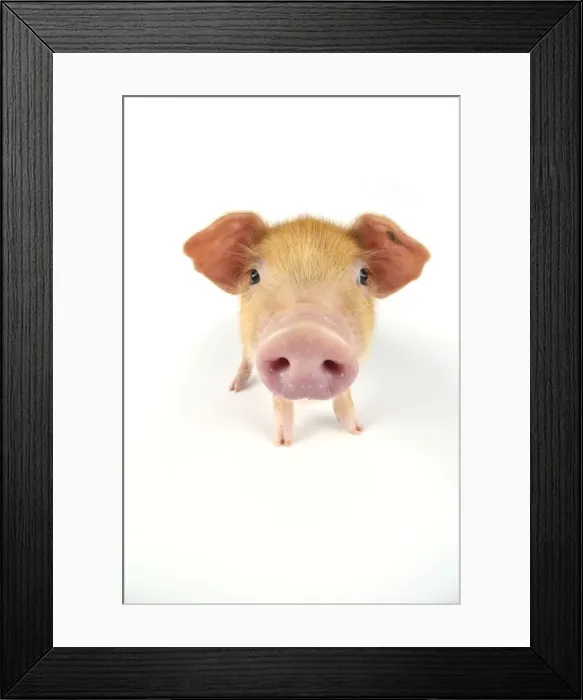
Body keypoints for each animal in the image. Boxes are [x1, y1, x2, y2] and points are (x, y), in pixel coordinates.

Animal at [183, 212, 430, 445]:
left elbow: (345, 397)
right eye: (254, 275)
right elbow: (280, 402)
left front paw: (357, 431)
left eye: (363, 275)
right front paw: (283, 444)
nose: (305, 338)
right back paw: (234, 388)